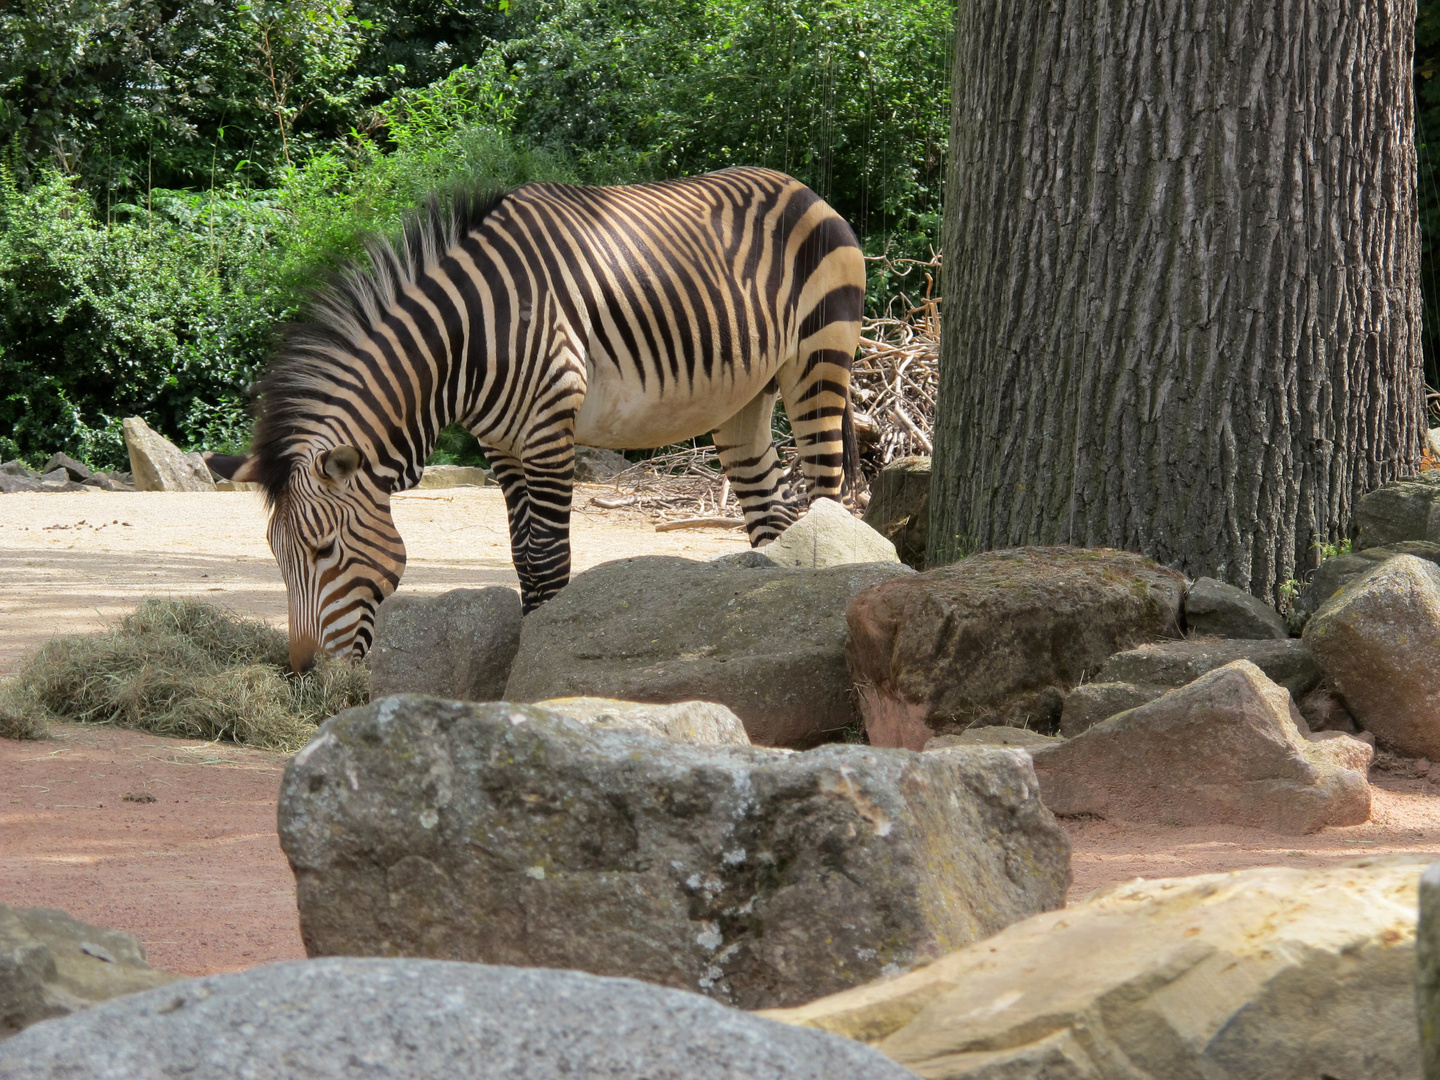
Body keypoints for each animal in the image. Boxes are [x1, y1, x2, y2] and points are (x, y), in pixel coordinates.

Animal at [207, 164, 858, 673]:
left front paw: (537, 660)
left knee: (825, 495)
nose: (301, 672)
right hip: (742, 400)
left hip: (817, 362)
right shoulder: (500, 444)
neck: (464, 343)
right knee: (773, 513)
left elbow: (546, 555)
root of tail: (799, 185)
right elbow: (522, 554)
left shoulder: (548, 429)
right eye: (276, 557)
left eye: (323, 551)